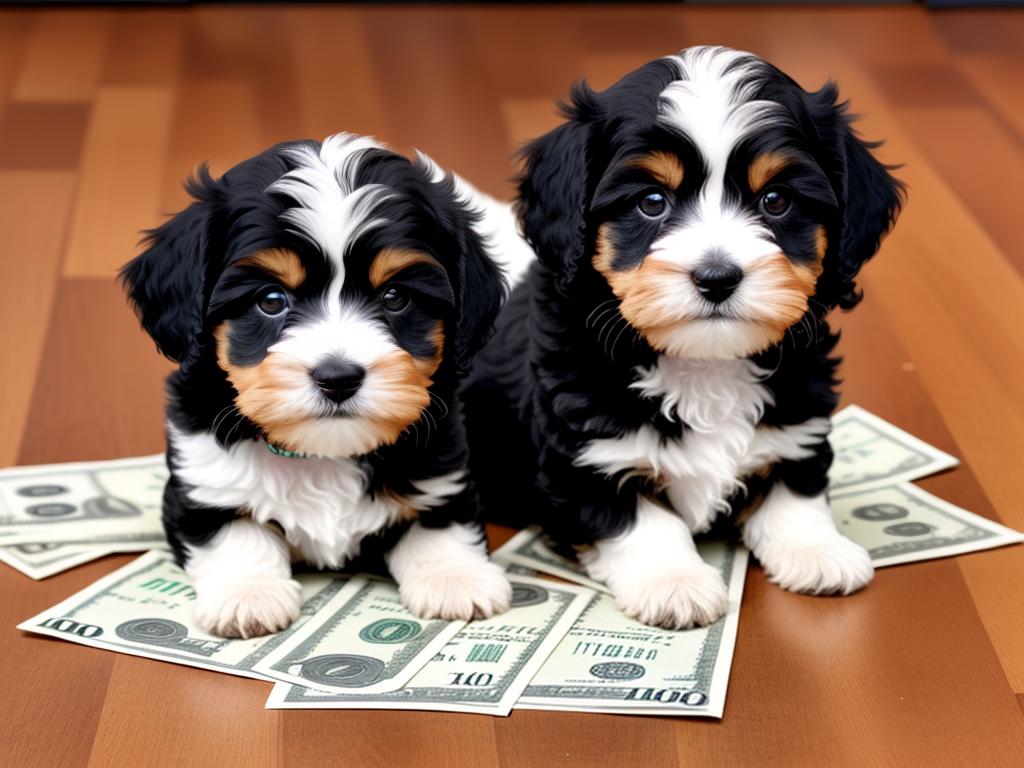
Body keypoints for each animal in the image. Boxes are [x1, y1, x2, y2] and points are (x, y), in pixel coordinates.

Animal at [121, 135, 512, 638]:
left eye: (395, 297)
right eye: (271, 300)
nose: (338, 377)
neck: (324, 455)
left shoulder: (442, 458)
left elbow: (438, 516)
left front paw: (454, 576)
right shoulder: (203, 478)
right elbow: (230, 528)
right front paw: (248, 593)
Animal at [464, 45, 905, 626]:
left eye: (776, 200)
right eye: (652, 201)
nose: (717, 277)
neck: (704, 364)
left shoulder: (800, 410)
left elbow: (796, 482)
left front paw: (815, 549)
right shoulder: (583, 449)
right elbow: (637, 518)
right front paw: (672, 581)